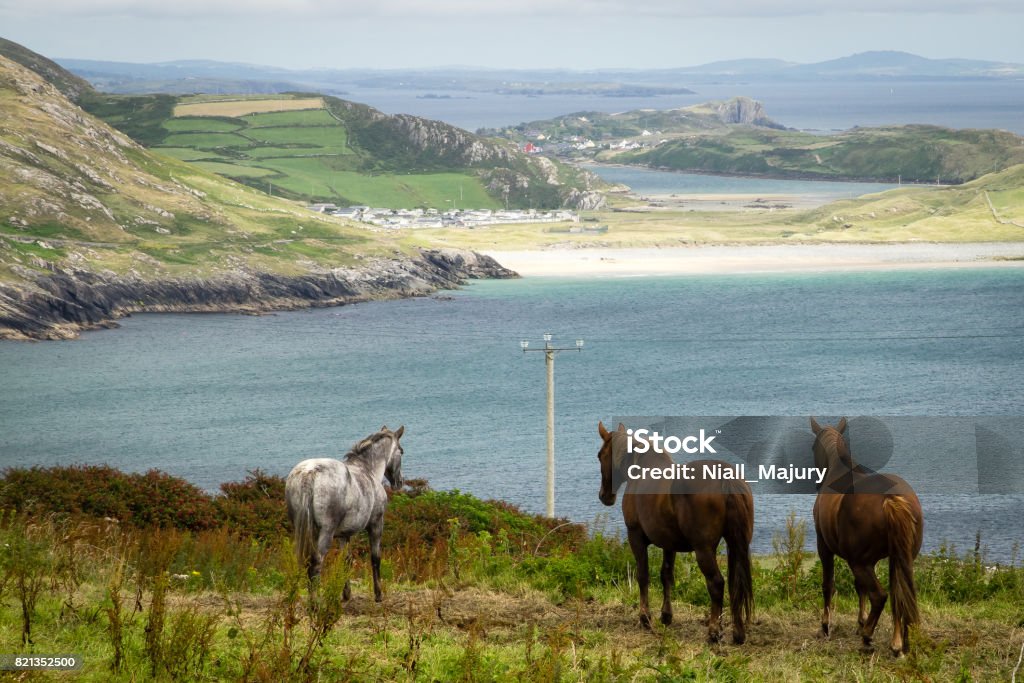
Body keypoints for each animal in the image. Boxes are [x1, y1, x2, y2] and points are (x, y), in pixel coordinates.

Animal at [286, 423, 405, 602]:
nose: (400, 482)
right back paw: (315, 603)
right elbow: (375, 558)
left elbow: (346, 560)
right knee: (316, 564)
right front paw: (378, 594)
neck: (367, 470)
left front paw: (346, 594)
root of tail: (309, 473)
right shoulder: (377, 525)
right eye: (401, 451)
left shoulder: (344, 534)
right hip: (326, 532)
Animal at [598, 419, 753, 643]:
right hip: (736, 545)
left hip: (704, 550)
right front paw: (666, 616)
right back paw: (738, 632)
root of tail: (726, 480)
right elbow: (666, 575)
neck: (642, 471)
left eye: (600, 455)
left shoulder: (635, 536)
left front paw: (645, 618)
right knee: (735, 583)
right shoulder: (668, 543)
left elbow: (643, 575)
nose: (604, 496)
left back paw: (713, 631)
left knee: (716, 583)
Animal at [811, 417, 925, 655]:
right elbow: (859, 587)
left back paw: (868, 636)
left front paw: (826, 625)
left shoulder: (824, 546)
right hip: (900, 558)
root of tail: (891, 498)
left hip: (860, 562)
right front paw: (861, 621)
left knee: (880, 596)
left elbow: (828, 585)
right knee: (900, 594)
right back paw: (899, 643)